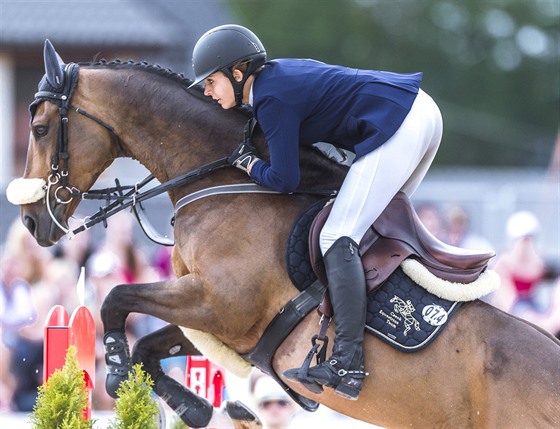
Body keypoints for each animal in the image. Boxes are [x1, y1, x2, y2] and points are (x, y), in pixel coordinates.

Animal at [8, 41, 560, 428]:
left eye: (39, 128)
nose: (33, 222)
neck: (223, 183)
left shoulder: (220, 303)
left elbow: (116, 299)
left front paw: (117, 370)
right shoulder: (224, 321)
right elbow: (148, 343)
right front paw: (195, 407)